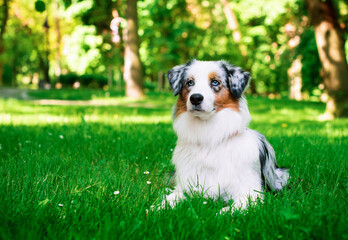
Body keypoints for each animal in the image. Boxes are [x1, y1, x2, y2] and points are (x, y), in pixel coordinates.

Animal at [164, 59, 290, 213]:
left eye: (215, 82)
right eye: (190, 82)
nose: (195, 98)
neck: (209, 137)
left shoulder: (250, 193)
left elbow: (228, 210)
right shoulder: (185, 186)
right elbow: (169, 199)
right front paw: (156, 208)